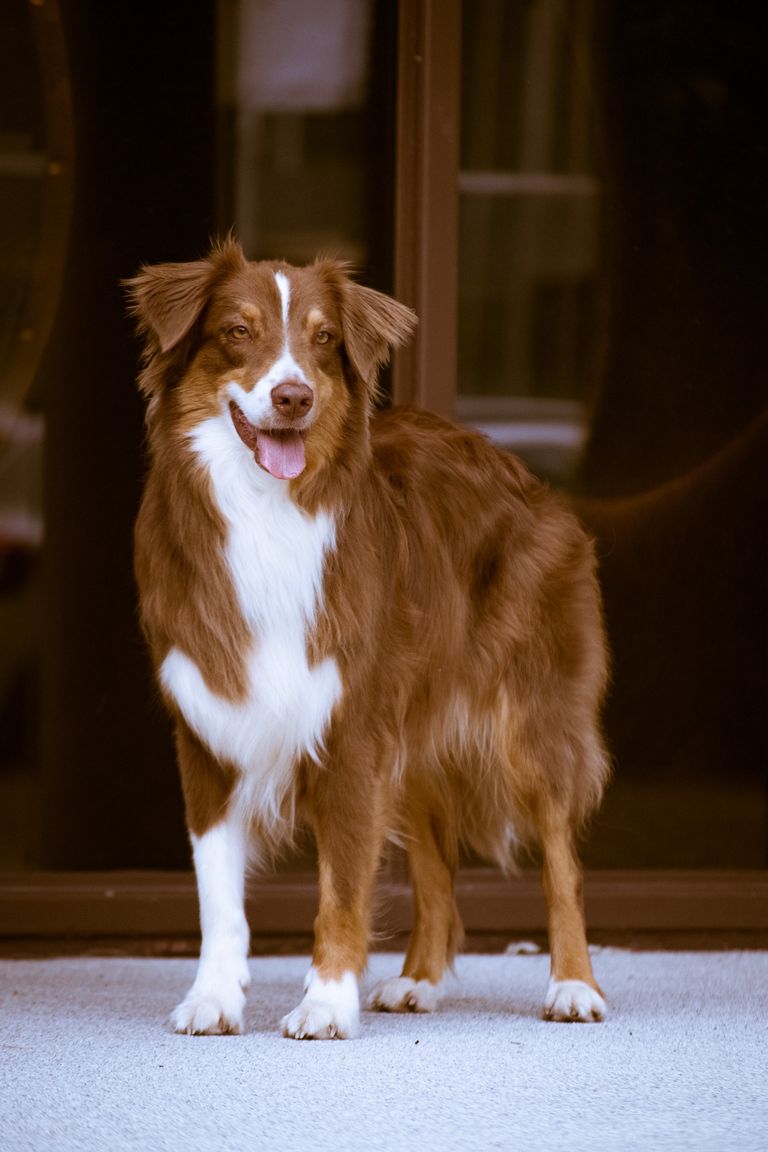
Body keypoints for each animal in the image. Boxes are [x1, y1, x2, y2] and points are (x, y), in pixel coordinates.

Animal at [126, 238, 612, 1041]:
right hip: (411, 737)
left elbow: (344, 886)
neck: (266, 514)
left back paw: (573, 986)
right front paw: (216, 997)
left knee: (562, 862)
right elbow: (219, 895)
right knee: (439, 868)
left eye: (323, 338)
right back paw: (419, 980)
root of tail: (523, 472)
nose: (294, 397)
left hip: (532, 723)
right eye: (238, 331)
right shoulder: (208, 731)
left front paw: (325, 1001)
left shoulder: (351, 729)